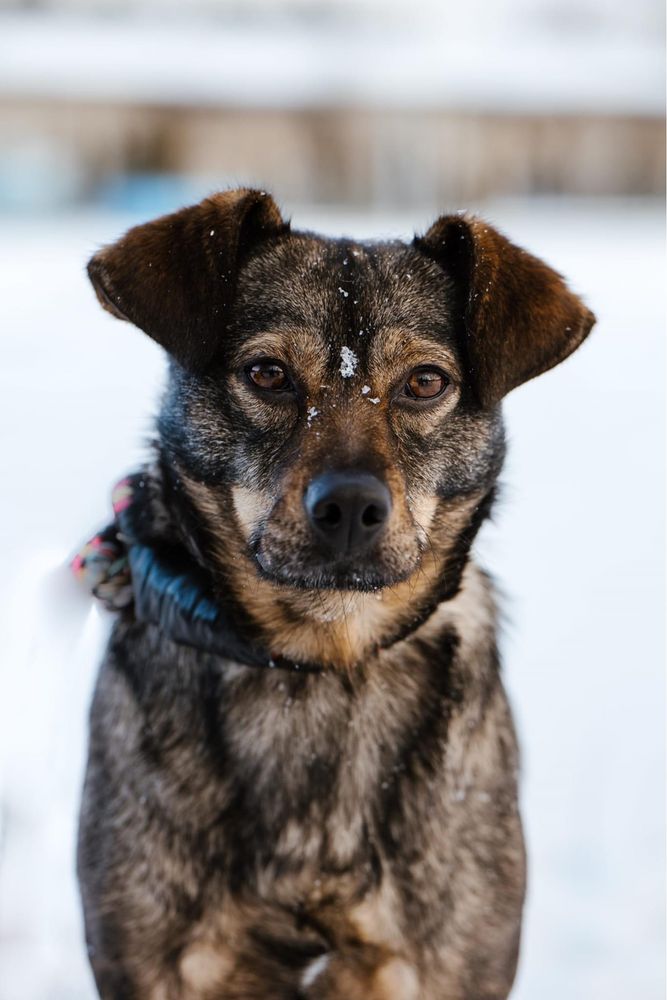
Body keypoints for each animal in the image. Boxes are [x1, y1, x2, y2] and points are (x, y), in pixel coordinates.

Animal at [78, 189, 596, 1000]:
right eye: (266, 373)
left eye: (425, 382)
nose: (350, 507)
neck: (322, 661)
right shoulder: (149, 965)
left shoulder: (450, 964)